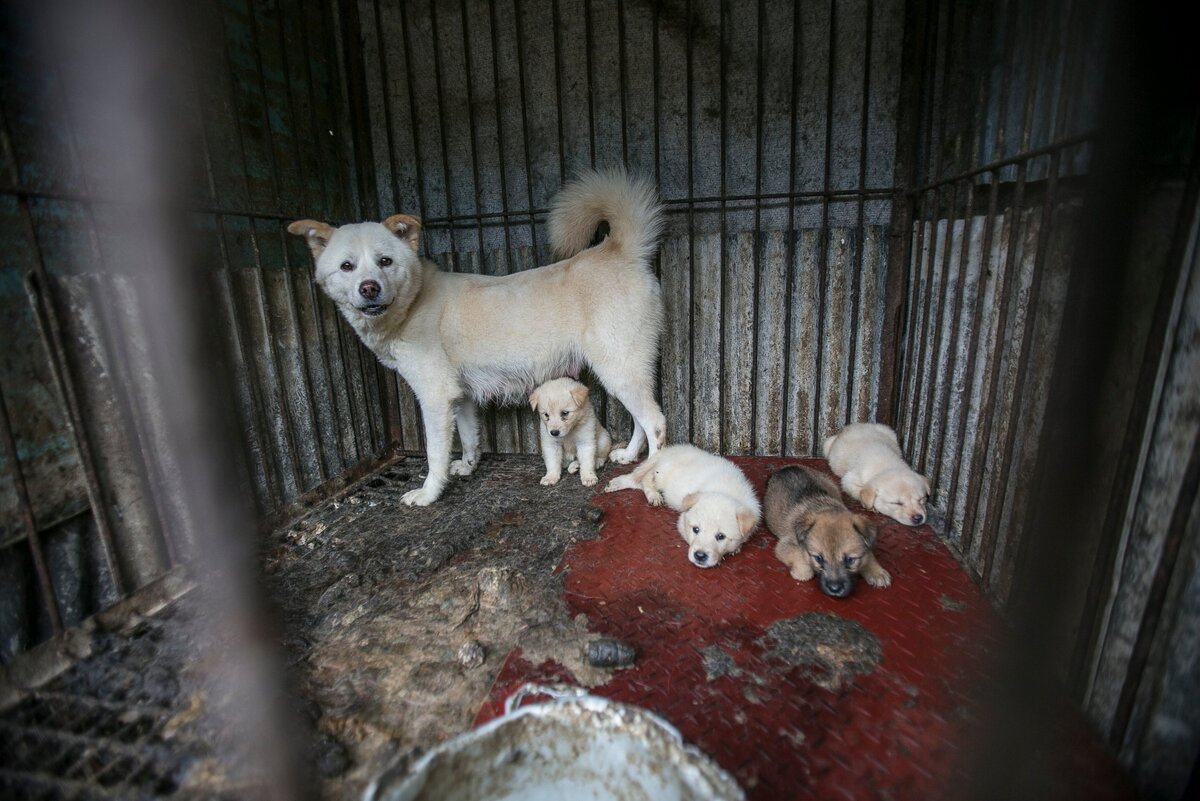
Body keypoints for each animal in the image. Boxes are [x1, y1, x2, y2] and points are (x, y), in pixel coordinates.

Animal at [288, 171, 667, 503]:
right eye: (347, 266)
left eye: (385, 261)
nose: (369, 288)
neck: (414, 302)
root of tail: (619, 249)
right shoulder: (463, 396)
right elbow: (470, 439)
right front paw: (468, 468)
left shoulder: (436, 396)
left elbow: (435, 453)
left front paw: (428, 494)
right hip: (625, 370)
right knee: (641, 419)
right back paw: (627, 454)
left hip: (618, 368)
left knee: (656, 422)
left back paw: (647, 472)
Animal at [604, 443, 763, 568]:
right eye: (696, 530)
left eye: (720, 536)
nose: (699, 556)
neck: (725, 490)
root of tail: (668, 451)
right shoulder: (682, 521)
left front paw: (736, 548)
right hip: (661, 474)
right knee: (645, 478)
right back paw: (652, 495)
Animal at [763, 465, 888, 597]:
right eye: (818, 558)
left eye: (850, 560)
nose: (835, 589)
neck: (827, 508)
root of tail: (786, 468)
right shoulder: (785, 545)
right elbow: (804, 566)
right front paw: (800, 573)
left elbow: (869, 555)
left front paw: (877, 572)